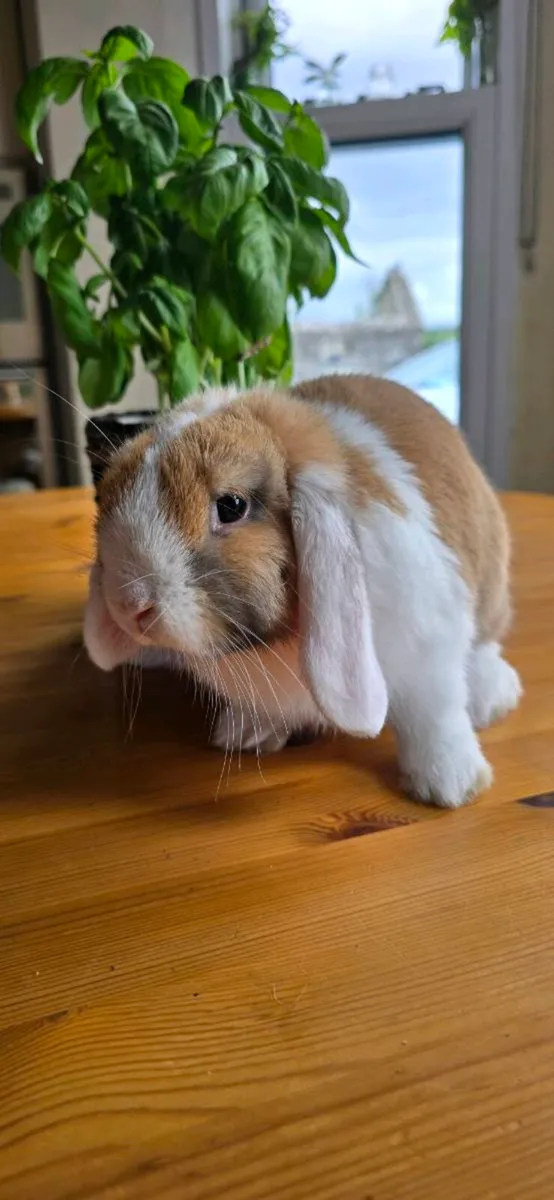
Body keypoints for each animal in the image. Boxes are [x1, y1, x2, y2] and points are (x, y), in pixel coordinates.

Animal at [84, 373, 522, 808]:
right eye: (106, 495)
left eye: (231, 506)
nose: (129, 606)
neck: (275, 646)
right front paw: (248, 734)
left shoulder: (429, 650)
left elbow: (435, 716)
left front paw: (451, 786)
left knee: (484, 649)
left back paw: (490, 700)